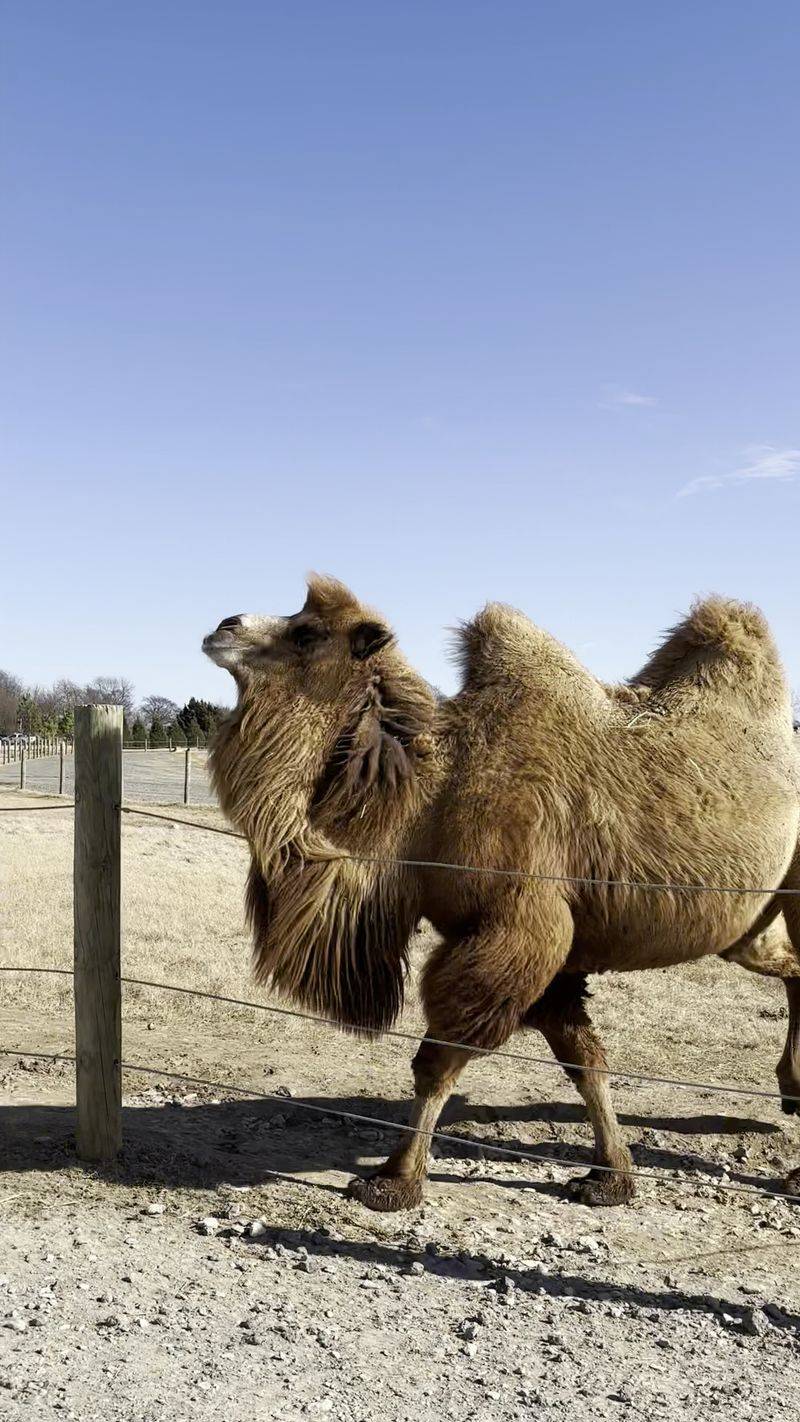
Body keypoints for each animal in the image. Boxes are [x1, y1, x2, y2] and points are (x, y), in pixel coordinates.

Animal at [204, 577, 800, 1211]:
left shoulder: (517, 928)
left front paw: (394, 1179)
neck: (430, 798)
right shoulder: (552, 947)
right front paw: (610, 1175)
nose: (223, 626)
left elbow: (438, 1061)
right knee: (789, 964)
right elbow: (585, 1060)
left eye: (307, 633)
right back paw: (791, 1090)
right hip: (748, 922)